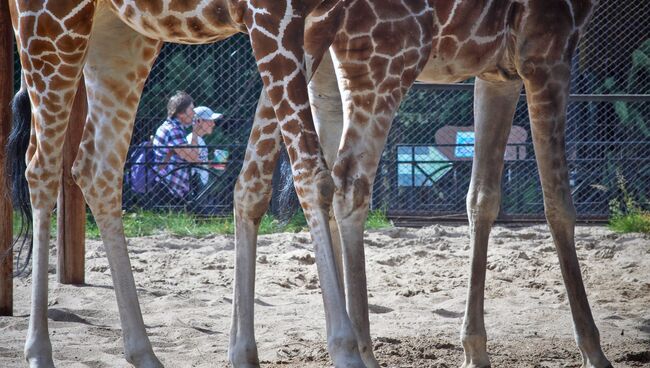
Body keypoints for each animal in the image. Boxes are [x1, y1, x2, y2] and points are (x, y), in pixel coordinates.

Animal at [6, 0, 364, 368]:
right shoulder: (271, 16)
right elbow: (313, 175)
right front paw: (347, 350)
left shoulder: (319, 21)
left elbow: (264, 181)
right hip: (50, 23)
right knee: (41, 167)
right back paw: (39, 352)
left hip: (121, 33)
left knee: (96, 167)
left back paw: (144, 353)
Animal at [232, 0, 608, 366]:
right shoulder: (548, 50)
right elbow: (559, 204)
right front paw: (593, 351)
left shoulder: (499, 72)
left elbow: (482, 198)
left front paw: (475, 350)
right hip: (381, 60)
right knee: (345, 183)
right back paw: (359, 350)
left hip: (318, 65)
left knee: (276, 180)